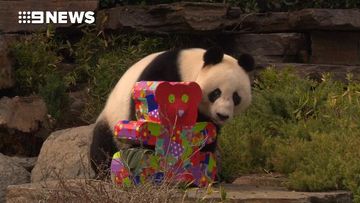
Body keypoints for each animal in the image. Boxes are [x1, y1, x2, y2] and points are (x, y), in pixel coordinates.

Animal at [89, 47, 255, 176]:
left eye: (236, 97)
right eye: (216, 93)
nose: (222, 115)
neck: (189, 71)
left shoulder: (205, 117)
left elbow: (204, 136)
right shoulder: (165, 75)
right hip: (111, 118)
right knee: (103, 145)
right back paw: (104, 172)